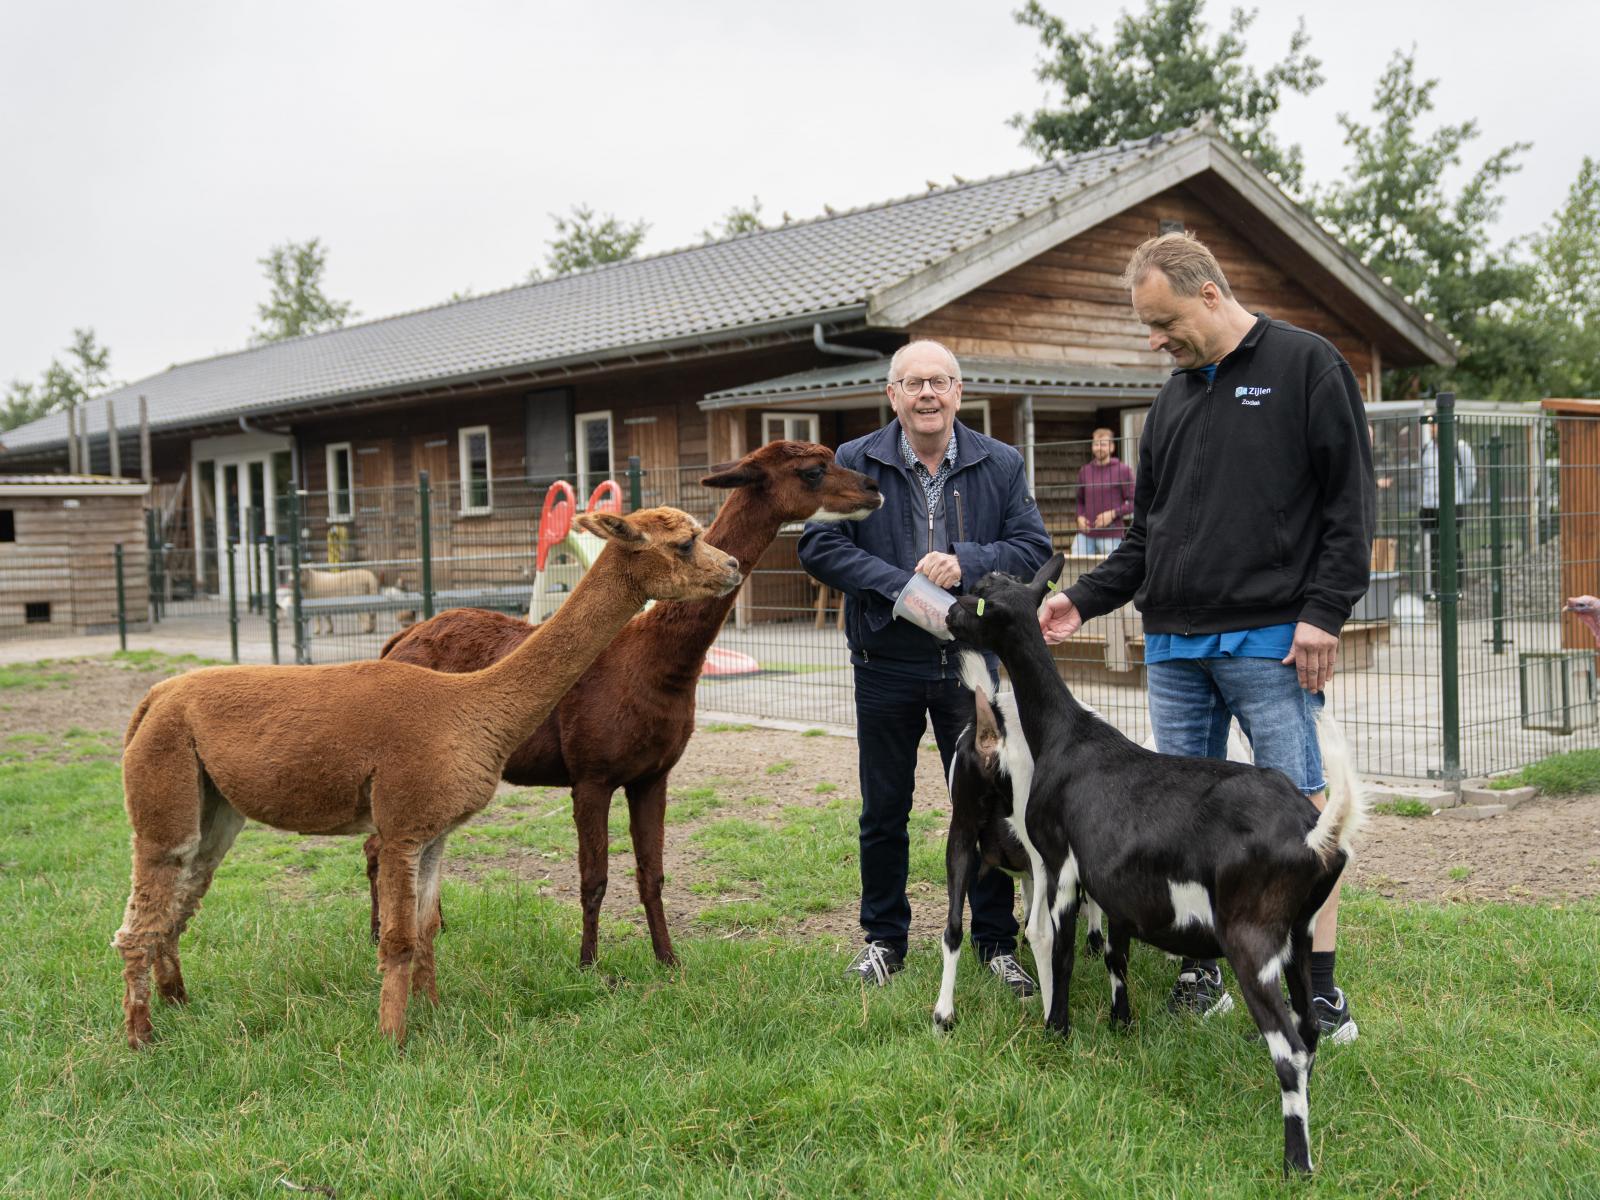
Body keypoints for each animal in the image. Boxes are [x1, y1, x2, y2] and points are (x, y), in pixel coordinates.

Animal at [940, 560, 1369, 1177]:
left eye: (978, 598)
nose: (947, 616)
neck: (1065, 735)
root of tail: (1316, 832)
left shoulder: (1061, 866)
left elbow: (1060, 951)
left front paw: (1055, 1032)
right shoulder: (1116, 887)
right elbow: (1114, 955)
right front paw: (1121, 1025)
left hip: (1252, 939)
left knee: (1288, 1047)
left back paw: (1296, 1162)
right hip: (1300, 935)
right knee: (1307, 1029)